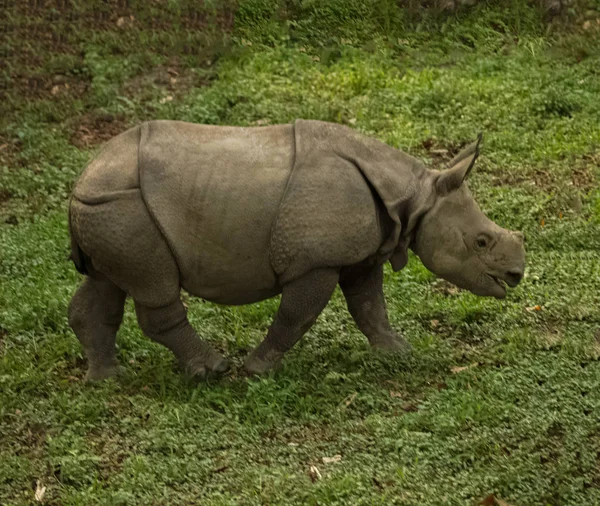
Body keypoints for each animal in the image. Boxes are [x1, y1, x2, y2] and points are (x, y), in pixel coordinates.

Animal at [67, 119, 524, 380]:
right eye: (481, 241)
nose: (516, 275)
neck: (414, 197)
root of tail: (82, 178)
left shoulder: (358, 253)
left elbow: (369, 305)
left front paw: (397, 352)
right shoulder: (315, 261)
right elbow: (297, 315)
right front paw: (258, 370)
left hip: (109, 208)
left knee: (109, 283)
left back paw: (106, 378)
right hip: (125, 207)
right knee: (155, 287)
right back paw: (211, 371)